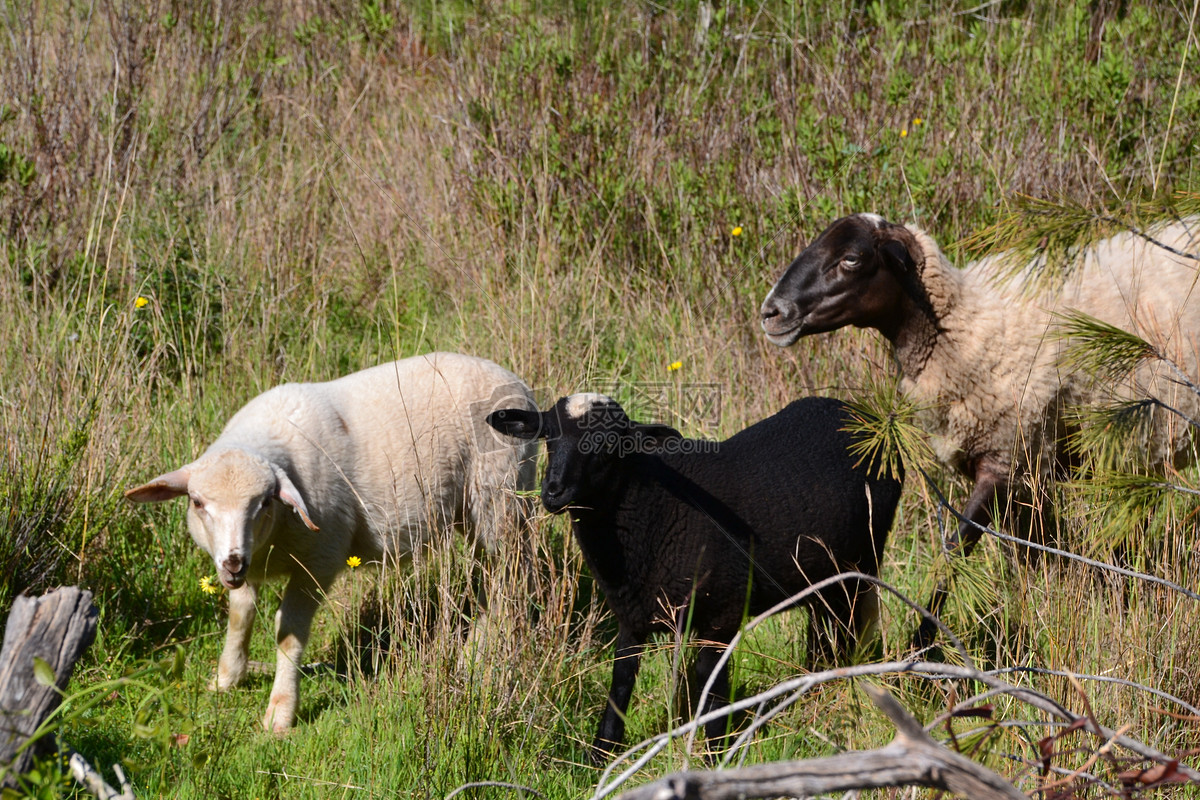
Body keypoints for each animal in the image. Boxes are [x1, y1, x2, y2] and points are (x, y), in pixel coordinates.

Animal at [126, 350, 535, 734]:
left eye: (265, 502)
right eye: (197, 503)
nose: (232, 563)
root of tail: (517, 382)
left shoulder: (320, 561)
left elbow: (288, 634)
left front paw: (280, 712)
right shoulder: (252, 565)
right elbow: (240, 616)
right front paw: (227, 677)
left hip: (500, 499)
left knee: (509, 579)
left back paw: (479, 653)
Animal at [484, 395, 902, 762]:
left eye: (609, 444)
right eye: (548, 437)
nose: (554, 493)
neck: (653, 509)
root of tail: (855, 411)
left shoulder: (721, 612)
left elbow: (709, 683)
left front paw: (715, 755)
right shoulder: (631, 612)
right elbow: (621, 678)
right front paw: (600, 755)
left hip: (862, 558)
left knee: (845, 626)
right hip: (819, 571)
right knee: (824, 628)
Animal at [758, 214, 1200, 638]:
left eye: (851, 258)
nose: (771, 313)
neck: (960, 322)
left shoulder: (1006, 457)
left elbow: (954, 557)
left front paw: (921, 646)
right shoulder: (1021, 475)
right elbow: (1037, 556)